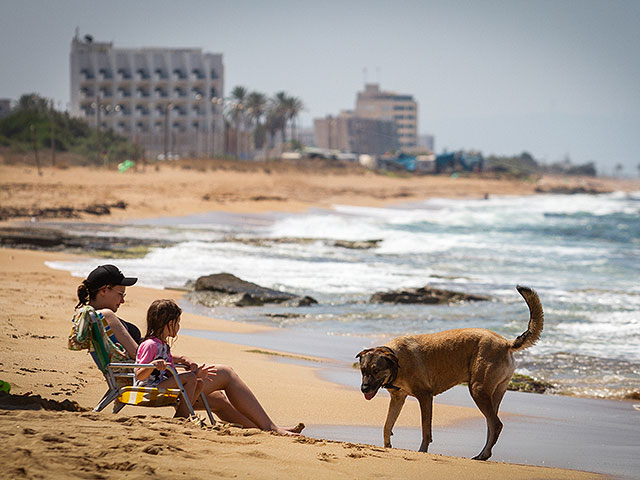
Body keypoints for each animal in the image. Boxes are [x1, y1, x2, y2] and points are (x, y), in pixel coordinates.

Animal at [358, 284, 544, 462]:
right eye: (363, 371)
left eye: (376, 370)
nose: (364, 389)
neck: (396, 361)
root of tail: (506, 343)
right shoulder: (398, 399)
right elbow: (387, 426)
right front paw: (387, 447)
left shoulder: (425, 397)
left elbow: (426, 430)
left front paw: (422, 451)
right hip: (494, 393)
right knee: (491, 425)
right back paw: (483, 454)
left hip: (478, 390)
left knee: (496, 424)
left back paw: (483, 455)